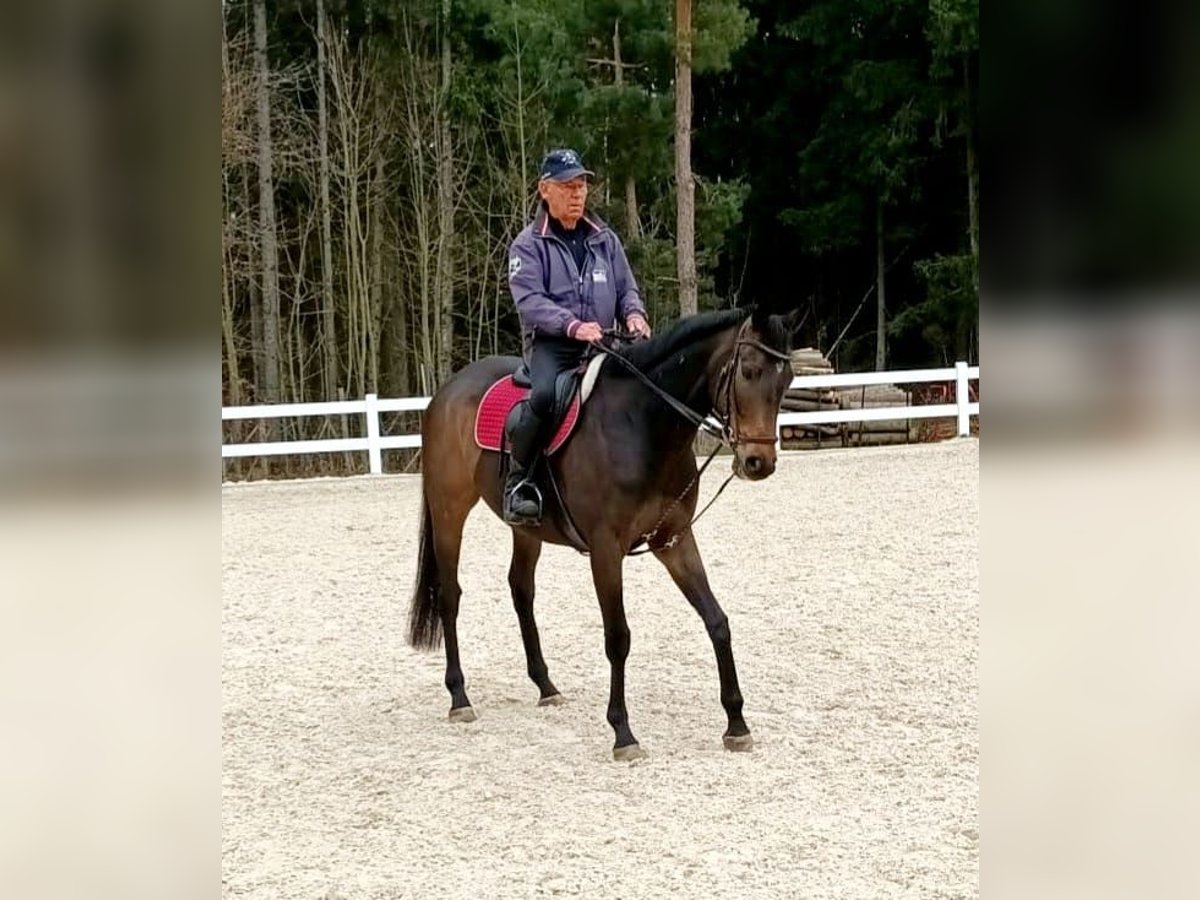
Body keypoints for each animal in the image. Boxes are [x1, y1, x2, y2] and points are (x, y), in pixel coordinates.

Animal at [408, 307, 801, 758]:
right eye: (749, 372)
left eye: (787, 380)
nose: (759, 462)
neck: (642, 425)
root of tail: (447, 391)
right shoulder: (605, 549)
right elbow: (618, 637)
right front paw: (622, 732)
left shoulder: (675, 539)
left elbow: (716, 620)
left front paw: (736, 723)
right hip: (449, 510)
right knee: (450, 596)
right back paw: (459, 697)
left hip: (526, 530)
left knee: (521, 590)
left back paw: (546, 686)